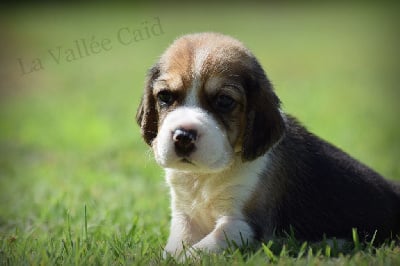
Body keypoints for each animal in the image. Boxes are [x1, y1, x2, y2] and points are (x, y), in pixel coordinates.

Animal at [137, 32, 400, 256]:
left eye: (224, 101)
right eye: (165, 97)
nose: (183, 136)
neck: (204, 177)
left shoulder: (242, 225)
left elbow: (198, 251)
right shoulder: (184, 216)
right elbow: (174, 248)